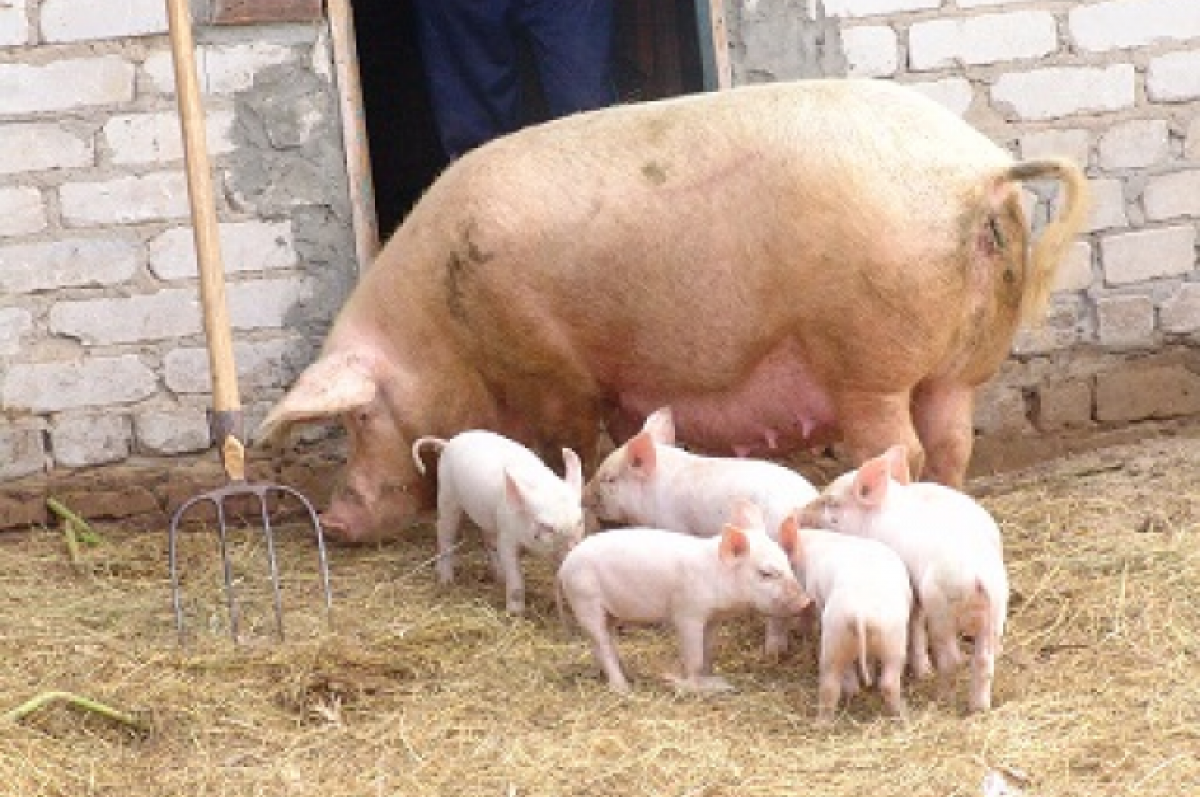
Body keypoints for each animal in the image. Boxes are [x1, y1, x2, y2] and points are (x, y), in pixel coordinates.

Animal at [258, 78, 1094, 542]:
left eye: (359, 418)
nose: (331, 520)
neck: (441, 329)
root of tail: (982, 173)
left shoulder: (551, 367)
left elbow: (568, 445)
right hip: (960, 365)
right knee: (952, 443)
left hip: (870, 362)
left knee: (902, 451)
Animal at [410, 432, 583, 612]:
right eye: (546, 526)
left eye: (579, 521)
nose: (574, 549)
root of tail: (449, 442)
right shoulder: (506, 534)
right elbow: (514, 571)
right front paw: (515, 612)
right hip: (447, 492)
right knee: (444, 531)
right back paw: (446, 580)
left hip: (486, 517)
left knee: (487, 540)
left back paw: (499, 577)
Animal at [556, 504, 811, 691]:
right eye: (765, 573)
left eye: (788, 564)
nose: (806, 601)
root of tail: (564, 566)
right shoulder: (688, 614)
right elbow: (694, 657)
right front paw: (707, 686)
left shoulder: (712, 618)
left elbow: (708, 651)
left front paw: (714, 678)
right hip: (585, 599)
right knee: (602, 642)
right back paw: (623, 688)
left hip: (608, 610)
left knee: (602, 641)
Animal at [796, 444, 1012, 710]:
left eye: (832, 502)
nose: (797, 512)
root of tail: (979, 576)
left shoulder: (913, 588)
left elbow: (915, 623)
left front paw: (921, 672)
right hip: (996, 611)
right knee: (984, 661)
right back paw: (979, 708)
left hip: (940, 608)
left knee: (953, 659)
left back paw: (941, 697)